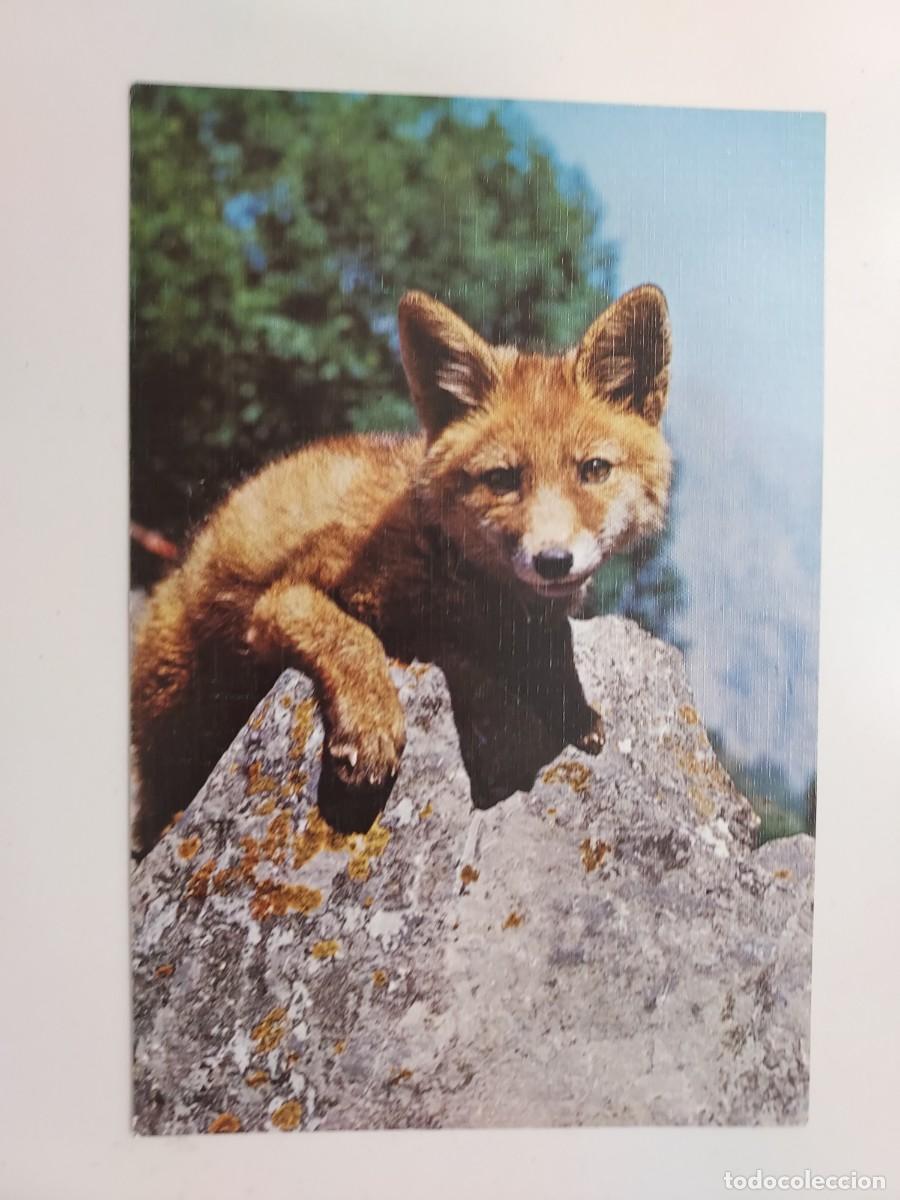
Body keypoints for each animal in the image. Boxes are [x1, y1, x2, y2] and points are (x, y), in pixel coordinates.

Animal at [131, 284, 672, 855]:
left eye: (594, 470)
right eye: (502, 479)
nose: (552, 561)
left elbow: (555, 637)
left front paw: (569, 700)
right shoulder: (283, 599)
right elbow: (353, 639)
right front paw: (371, 729)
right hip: (180, 717)